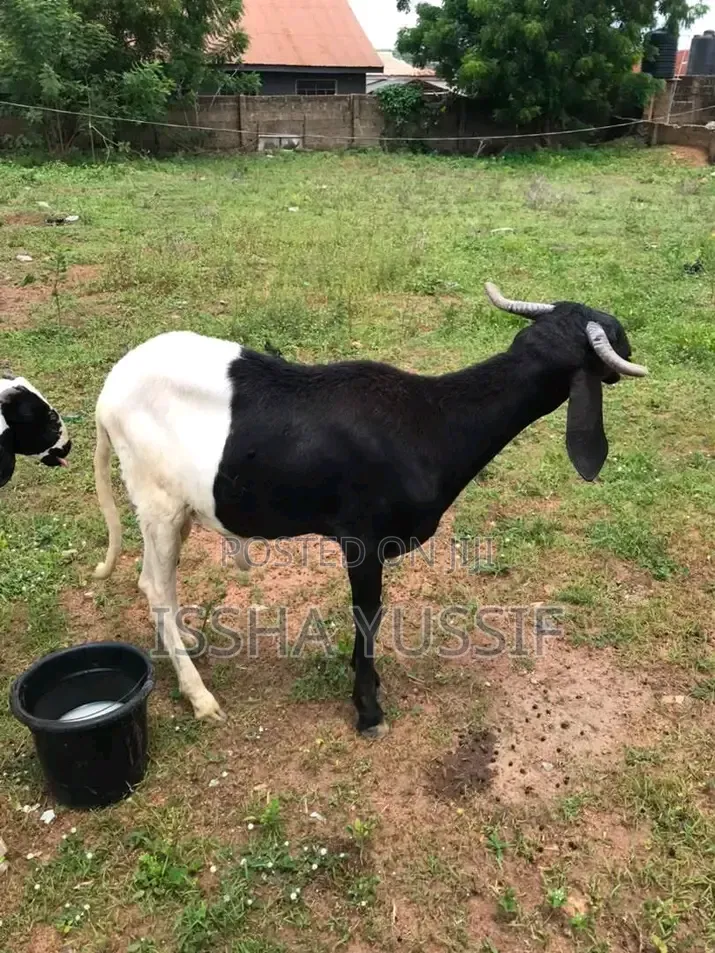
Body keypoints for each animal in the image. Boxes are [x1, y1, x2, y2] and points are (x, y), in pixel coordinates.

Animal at [92, 282, 647, 735]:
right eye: (613, 334)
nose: (630, 347)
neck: (431, 422)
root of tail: (107, 395)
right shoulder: (362, 538)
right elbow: (368, 614)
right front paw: (368, 708)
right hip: (158, 502)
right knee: (154, 586)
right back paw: (200, 696)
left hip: (178, 506)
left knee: (156, 582)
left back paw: (185, 637)